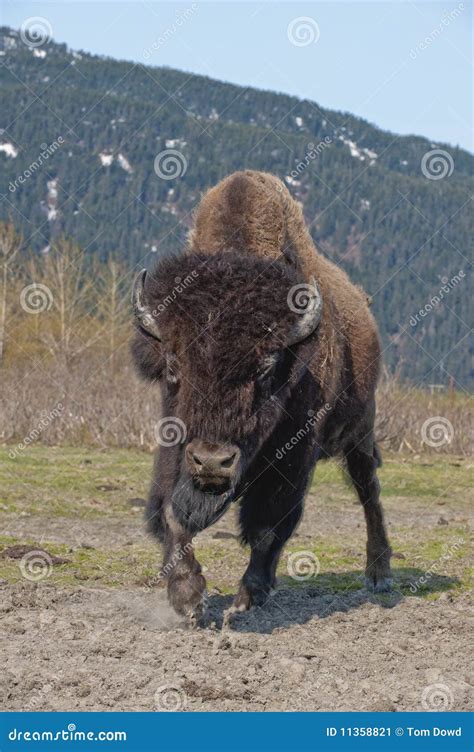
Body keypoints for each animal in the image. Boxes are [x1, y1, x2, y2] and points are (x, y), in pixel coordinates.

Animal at [131, 172, 392, 624]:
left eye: (267, 368)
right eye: (173, 365)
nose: (213, 462)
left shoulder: (294, 455)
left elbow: (269, 524)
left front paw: (247, 598)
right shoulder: (174, 449)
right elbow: (170, 512)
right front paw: (188, 598)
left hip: (359, 431)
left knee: (368, 490)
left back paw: (379, 573)